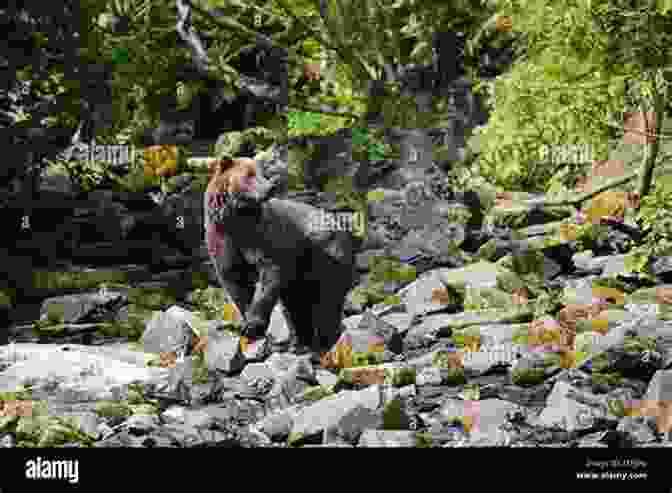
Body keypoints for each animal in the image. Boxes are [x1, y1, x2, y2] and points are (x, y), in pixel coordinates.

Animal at [205, 156, 360, 352]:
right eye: (249, 175)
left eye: (262, 173)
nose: (270, 186)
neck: (236, 219)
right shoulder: (222, 238)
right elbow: (235, 280)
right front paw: (246, 323)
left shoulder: (261, 237)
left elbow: (269, 273)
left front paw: (253, 325)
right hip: (301, 273)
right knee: (297, 306)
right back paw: (298, 343)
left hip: (326, 256)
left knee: (326, 302)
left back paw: (325, 342)